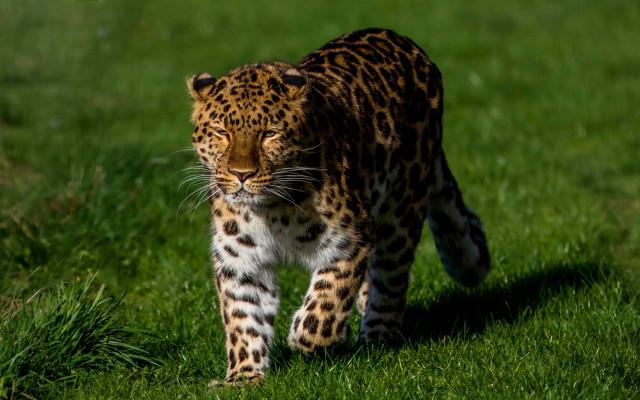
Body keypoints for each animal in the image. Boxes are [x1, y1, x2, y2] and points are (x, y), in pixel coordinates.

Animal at [186, 28, 490, 387]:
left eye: (269, 134)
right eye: (221, 132)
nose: (241, 174)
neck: (270, 211)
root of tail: (404, 41)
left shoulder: (352, 237)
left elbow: (329, 298)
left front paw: (311, 334)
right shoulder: (240, 260)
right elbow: (243, 318)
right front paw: (244, 377)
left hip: (402, 206)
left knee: (392, 276)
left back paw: (377, 334)